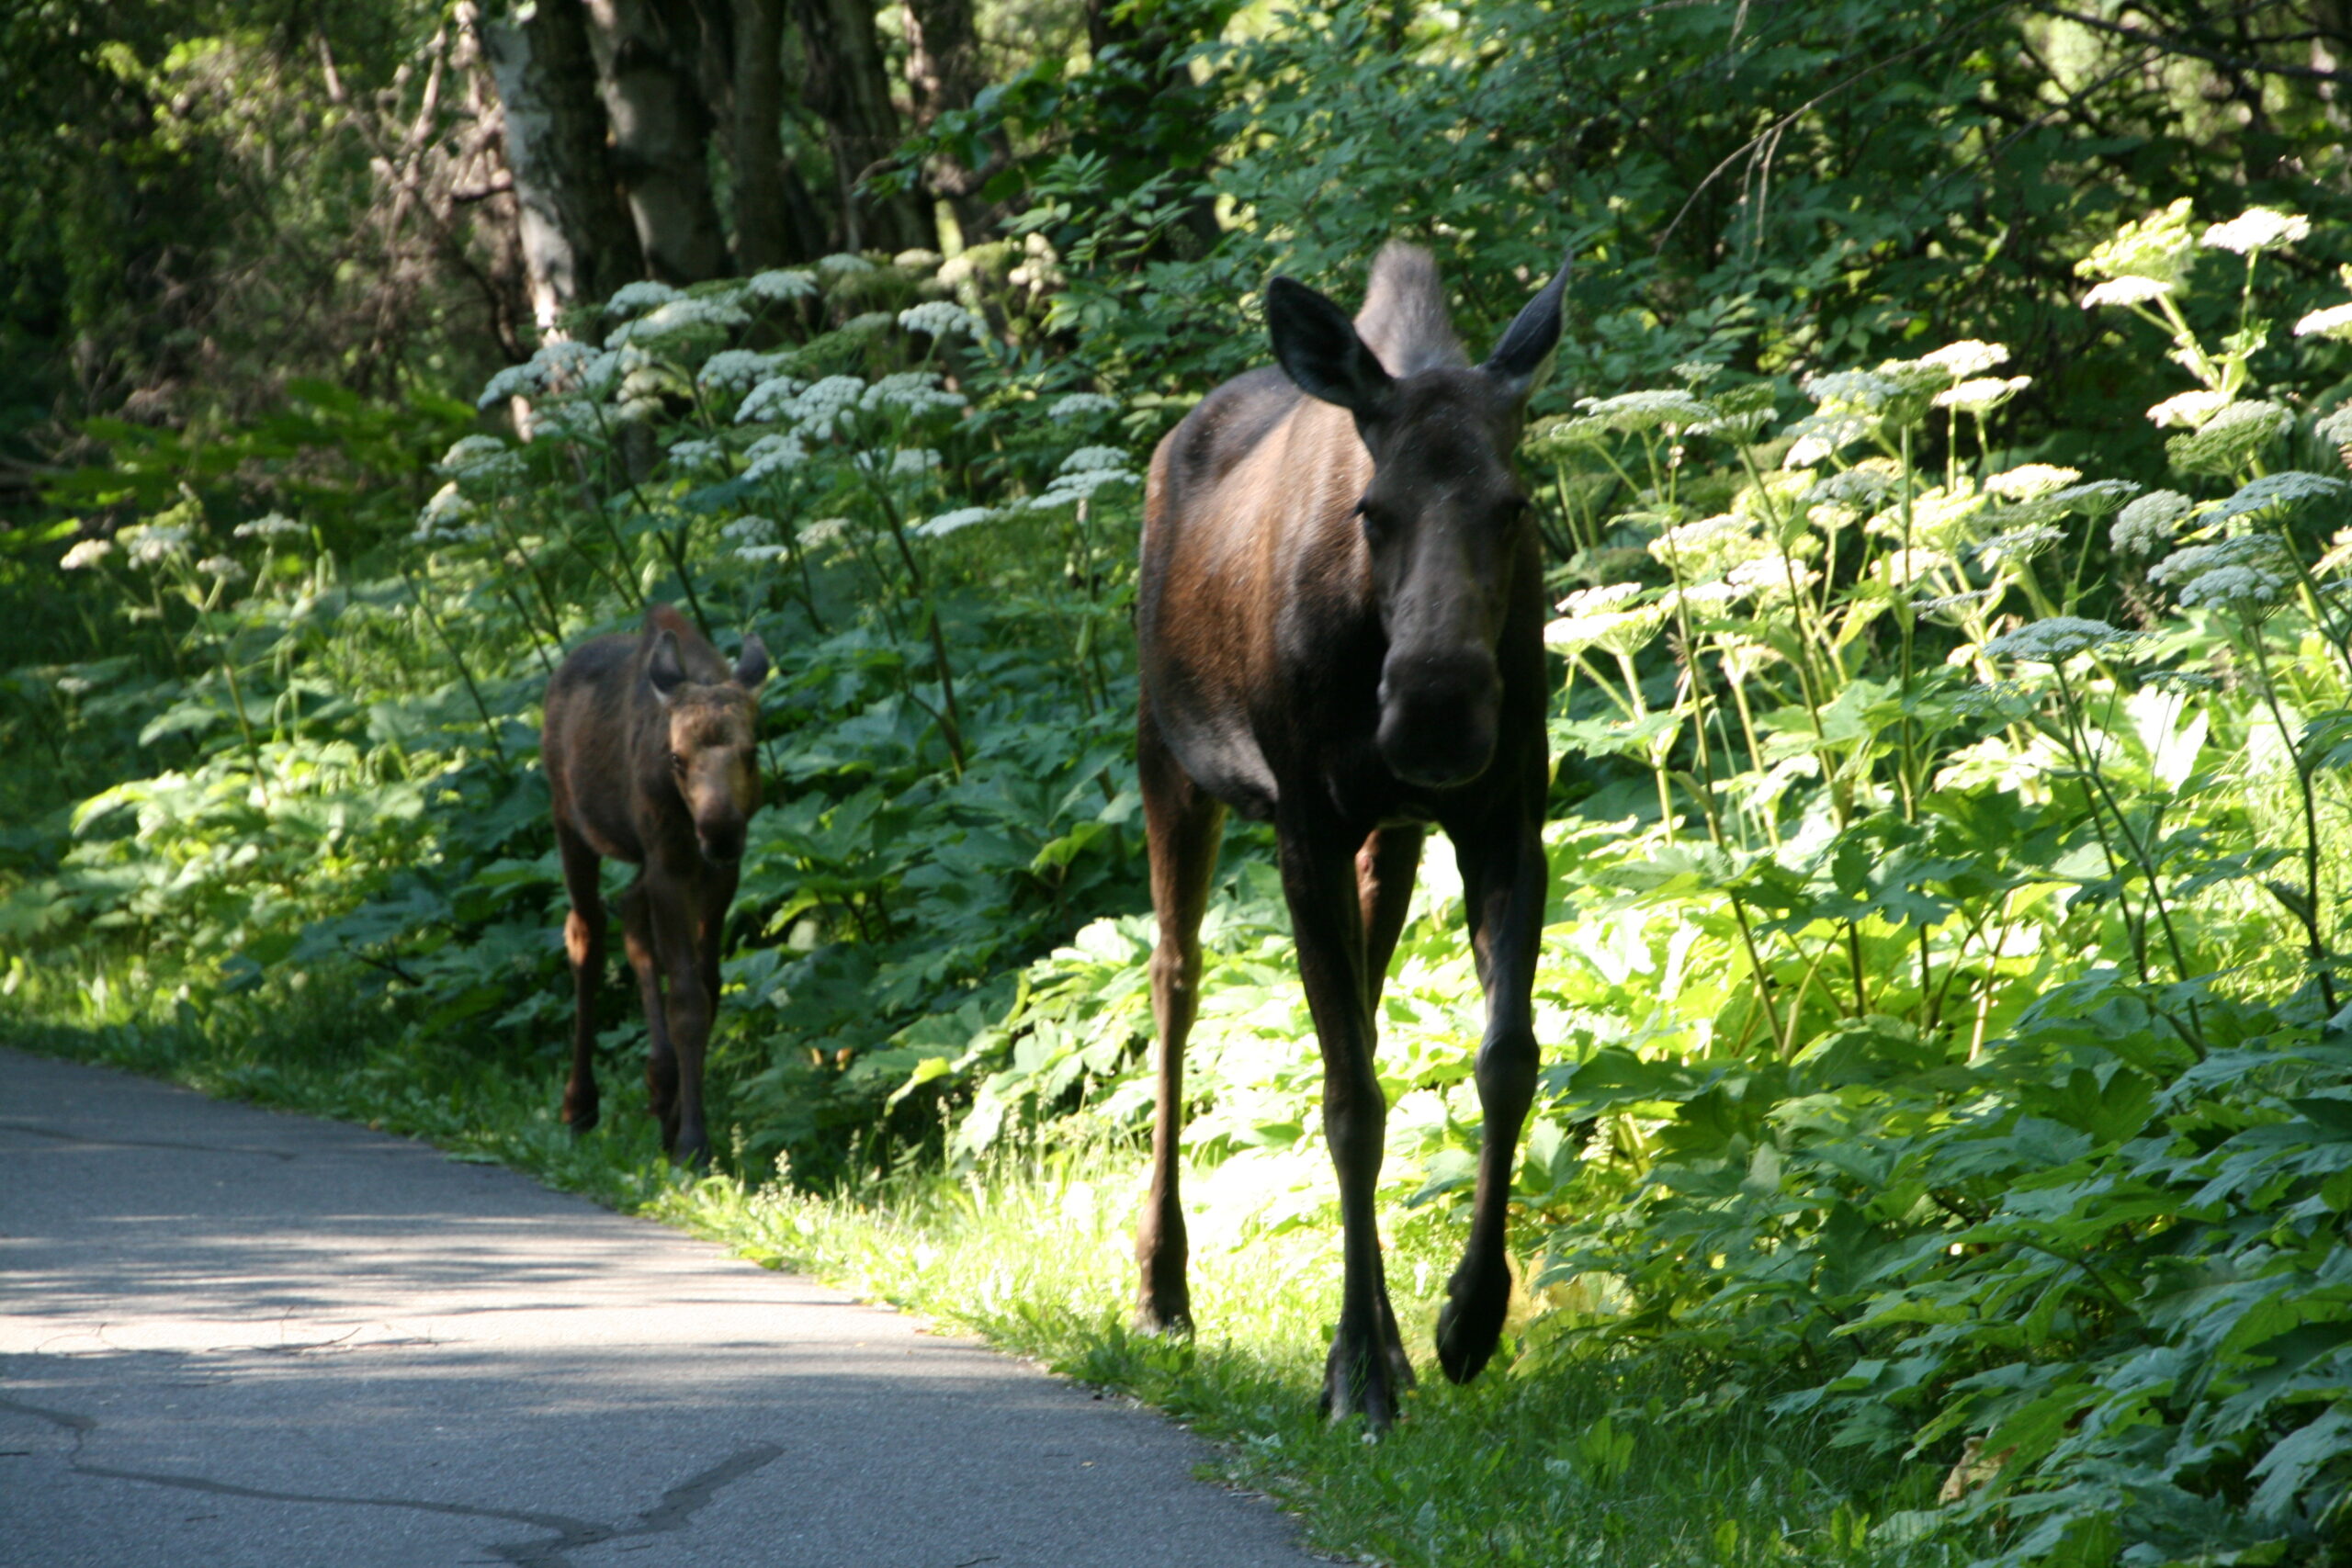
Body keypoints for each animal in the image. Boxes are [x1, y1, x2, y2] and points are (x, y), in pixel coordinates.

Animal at [538, 602, 766, 1166]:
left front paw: (677, 1115)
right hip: (569, 821)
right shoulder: (670, 865)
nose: (720, 831)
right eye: (677, 757)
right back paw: (580, 1105)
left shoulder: (718, 875)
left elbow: (709, 986)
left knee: (630, 914)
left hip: (644, 860)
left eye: (751, 751)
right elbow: (685, 998)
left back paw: (659, 1083)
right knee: (587, 932)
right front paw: (692, 1141)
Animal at [1133, 242, 1561, 1419]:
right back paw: (1161, 1288)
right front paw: (1356, 1374)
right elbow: (1349, 1105)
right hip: (1166, 758)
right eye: (1373, 509)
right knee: (1174, 980)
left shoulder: (1507, 818)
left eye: (1513, 506)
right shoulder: (1306, 825)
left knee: (1360, 1002)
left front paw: (1467, 1316)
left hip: (1394, 836)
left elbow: (1505, 1058)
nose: (1434, 712)